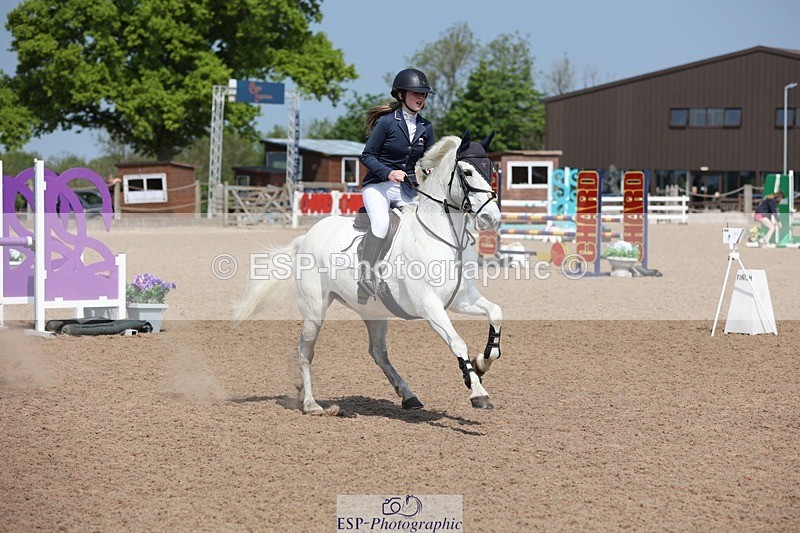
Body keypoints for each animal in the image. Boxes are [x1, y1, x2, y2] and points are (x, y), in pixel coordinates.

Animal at [235, 130, 504, 414]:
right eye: (467, 172)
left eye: (491, 169)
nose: (491, 218)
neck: (444, 237)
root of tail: (307, 236)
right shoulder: (429, 305)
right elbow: (457, 342)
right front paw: (478, 392)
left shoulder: (462, 299)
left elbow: (496, 313)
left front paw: (482, 362)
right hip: (314, 309)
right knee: (305, 351)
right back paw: (311, 404)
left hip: (374, 311)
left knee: (378, 352)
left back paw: (408, 395)